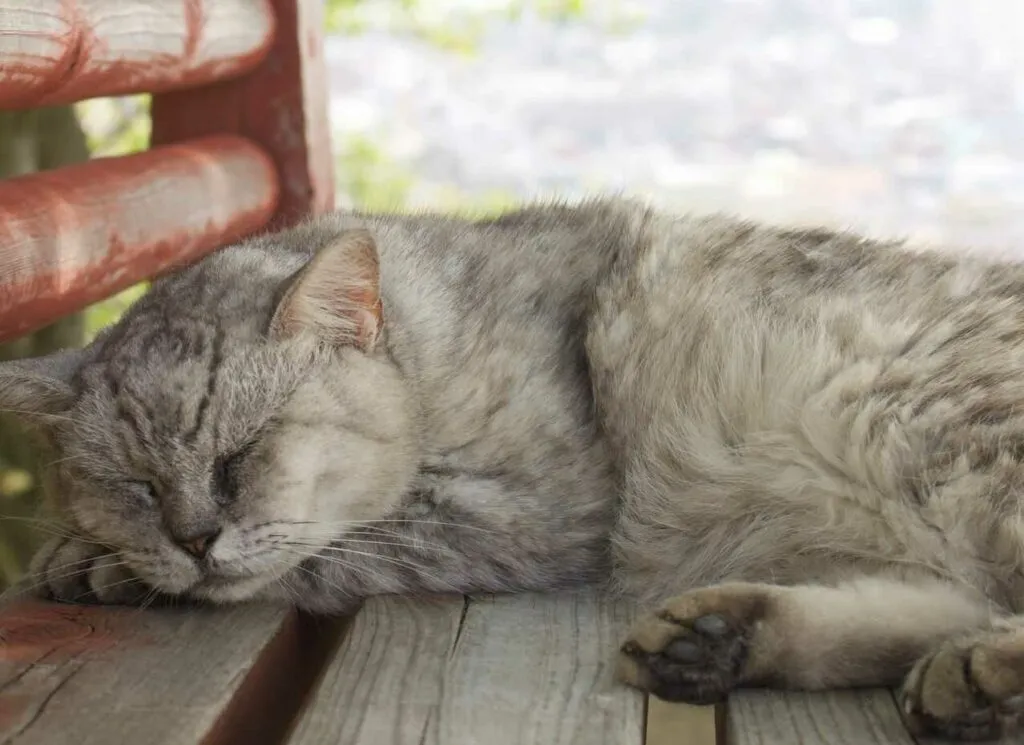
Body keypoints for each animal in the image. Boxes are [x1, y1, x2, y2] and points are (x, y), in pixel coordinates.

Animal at [2, 197, 1024, 740]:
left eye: (241, 453)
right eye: (136, 484)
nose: (192, 537)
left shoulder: (532, 512)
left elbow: (334, 550)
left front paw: (91, 563)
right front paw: (101, 551)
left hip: (949, 443)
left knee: (989, 606)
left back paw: (981, 675)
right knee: (938, 605)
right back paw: (728, 639)